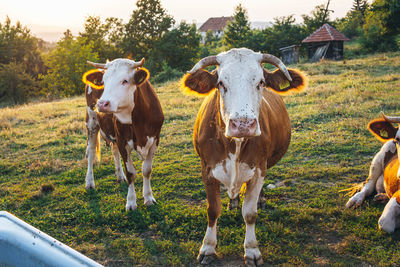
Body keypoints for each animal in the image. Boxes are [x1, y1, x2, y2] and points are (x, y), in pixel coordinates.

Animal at [82, 58, 163, 211]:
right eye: (104, 81)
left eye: (125, 81)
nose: (102, 104)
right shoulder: (122, 140)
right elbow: (131, 172)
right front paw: (131, 202)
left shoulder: (155, 139)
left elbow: (147, 170)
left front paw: (148, 197)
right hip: (91, 122)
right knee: (91, 152)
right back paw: (89, 182)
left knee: (114, 151)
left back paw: (120, 176)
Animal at [181, 48, 306, 267]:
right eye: (221, 83)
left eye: (261, 82)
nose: (243, 124)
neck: (235, 144)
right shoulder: (207, 170)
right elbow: (212, 210)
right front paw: (208, 248)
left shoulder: (258, 170)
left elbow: (249, 213)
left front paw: (252, 250)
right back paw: (232, 202)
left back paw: (260, 200)